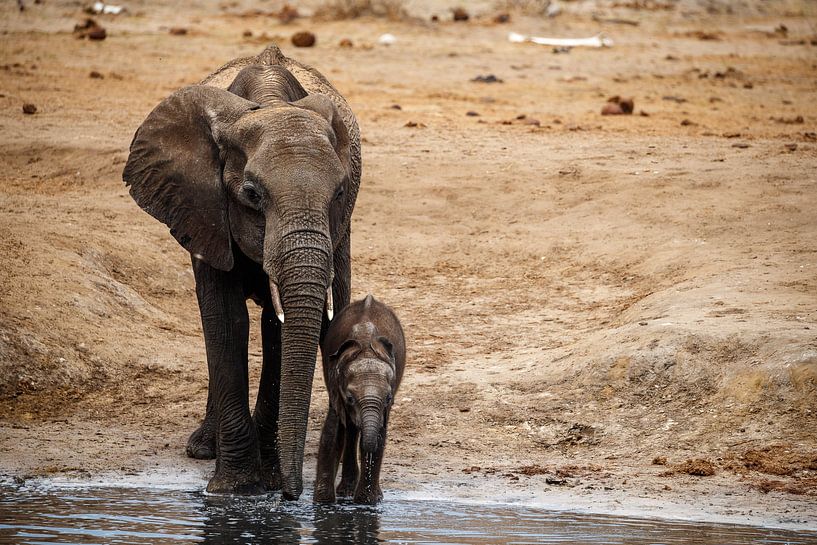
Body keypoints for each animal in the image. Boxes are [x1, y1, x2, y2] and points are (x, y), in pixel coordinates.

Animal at [122, 44, 361, 500]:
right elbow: (226, 321)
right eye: (252, 194)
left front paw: (265, 477)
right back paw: (203, 448)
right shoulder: (203, 206)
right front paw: (233, 490)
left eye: (340, 192)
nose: (292, 495)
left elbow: (276, 329)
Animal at [313, 295, 406, 504]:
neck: (365, 349)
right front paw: (323, 502)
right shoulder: (335, 383)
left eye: (388, 398)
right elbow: (333, 433)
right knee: (350, 429)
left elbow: (379, 435)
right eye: (349, 398)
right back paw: (346, 491)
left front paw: (367, 502)